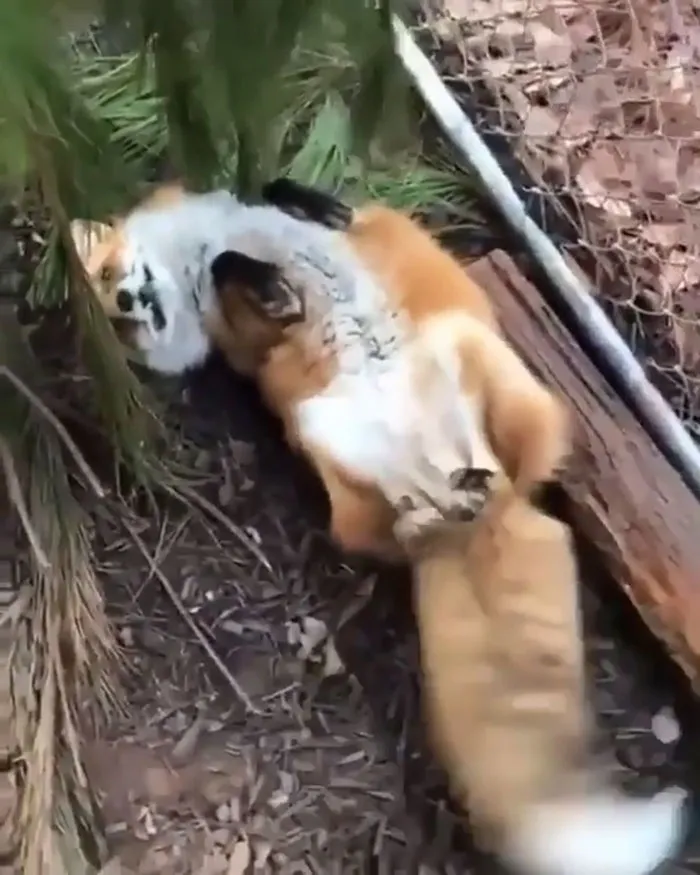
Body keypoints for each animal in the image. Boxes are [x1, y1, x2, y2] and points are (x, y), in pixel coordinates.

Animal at [70, 179, 570, 560]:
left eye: (108, 275)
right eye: (121, 326)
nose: (125, 302)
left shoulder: (371, 220)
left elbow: (290, 195)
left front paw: (313, 208)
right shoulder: (244, 341)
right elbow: (230, 269)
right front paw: (273, 288)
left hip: (456, 338)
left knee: (497, 478)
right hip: (321, 424)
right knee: (425, 508)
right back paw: (443, 509)